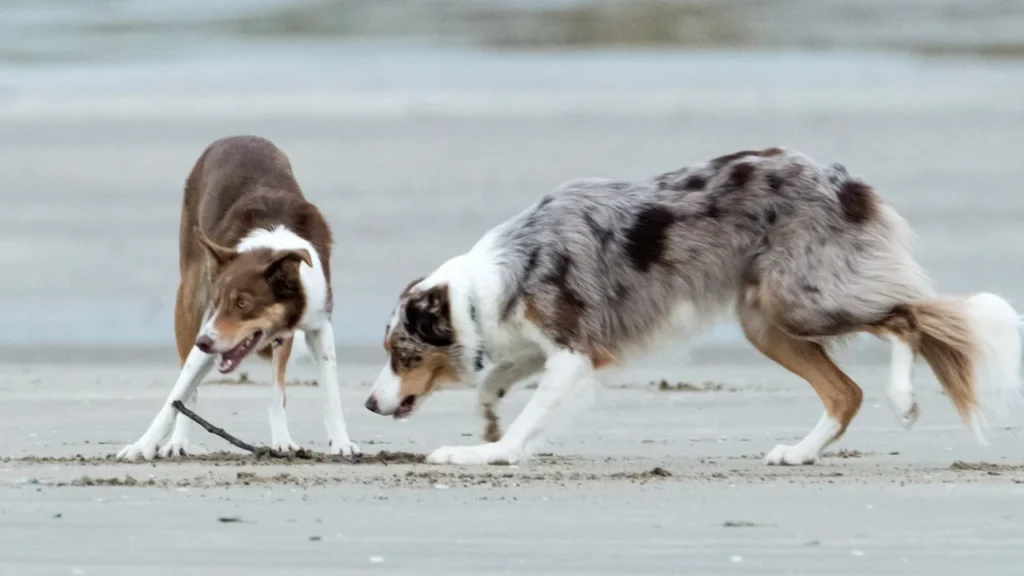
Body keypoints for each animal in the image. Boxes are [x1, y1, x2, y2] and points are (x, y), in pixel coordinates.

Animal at [118, 133, 360, 457]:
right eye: (220, 302)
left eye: (243, 303)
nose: (204, 342)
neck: (273, 245)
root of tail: (238, 137)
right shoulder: (209, 326)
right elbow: (176, 397)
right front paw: (143, 445)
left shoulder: (318, 325)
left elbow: (328, 393)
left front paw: (341, 442)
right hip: (188, 300)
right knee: (188, 390)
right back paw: (178, 442)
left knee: (277, 390)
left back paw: (281, 439)